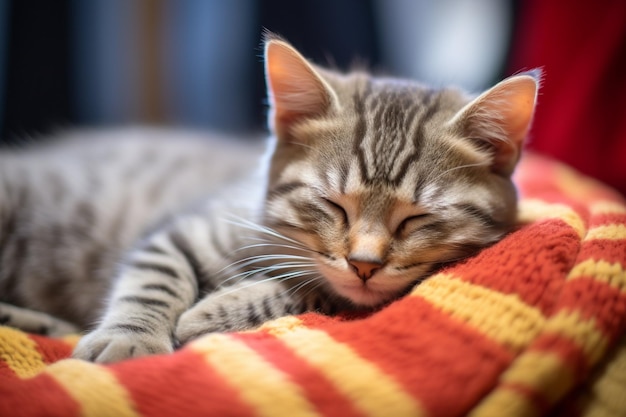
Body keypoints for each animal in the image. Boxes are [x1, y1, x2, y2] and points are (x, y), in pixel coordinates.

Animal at [0, 35, 536, 360]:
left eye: (416, 219)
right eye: (333, 205)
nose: (365, 264)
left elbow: (310, 290)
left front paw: (210, 315)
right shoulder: (184, 229)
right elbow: (154, 278)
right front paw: (129, 339)